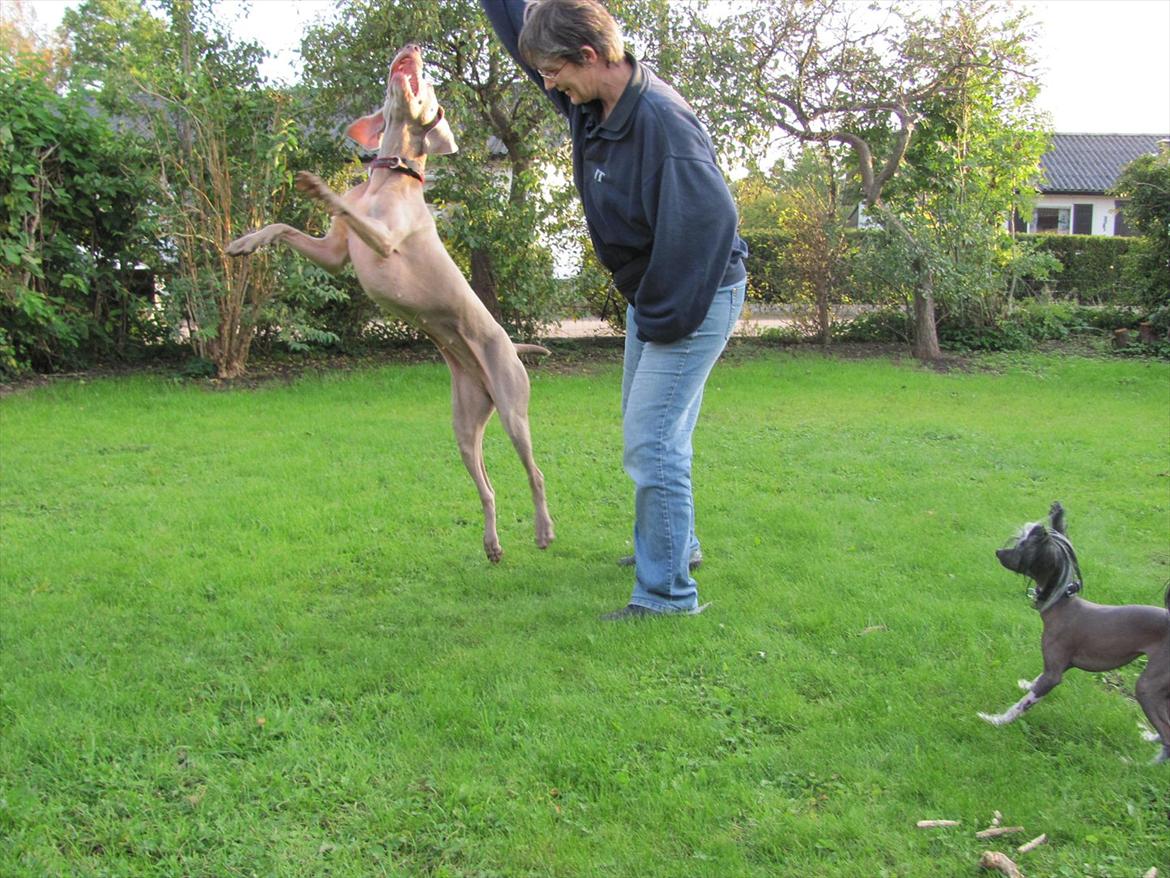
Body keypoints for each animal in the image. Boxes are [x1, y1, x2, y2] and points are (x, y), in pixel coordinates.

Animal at [232, 43, 556, 564]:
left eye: (428, 88)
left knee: (536, 472)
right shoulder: (335, 256)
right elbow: (284, 227)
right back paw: (491, 544)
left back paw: (544, 529)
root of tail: (510, 347)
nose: (414, 48)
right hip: (465, 422)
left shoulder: (383, 240)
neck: (388, 178)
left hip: (512, 407)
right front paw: (245, 242)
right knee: (486, 486)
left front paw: (318, 186)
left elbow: (342, 206)